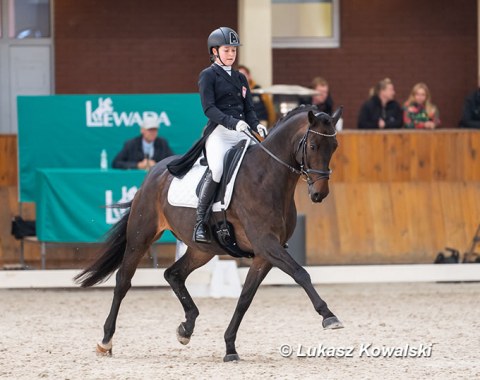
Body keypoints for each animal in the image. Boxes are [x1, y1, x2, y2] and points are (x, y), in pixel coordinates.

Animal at [75, 104, 344, 362]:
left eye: (334, 146)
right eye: (312, 145)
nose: (319, 194)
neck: (267, 177)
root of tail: (154, 172)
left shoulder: (264, 253)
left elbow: (245, 297)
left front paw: (230, 347)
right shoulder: (267, 244)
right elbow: (301, 274)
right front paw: (329, 316)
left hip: (202, 249)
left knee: (173, 274)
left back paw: (186, 328)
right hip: (141, 236)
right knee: (123, 281)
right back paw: (106, 341)